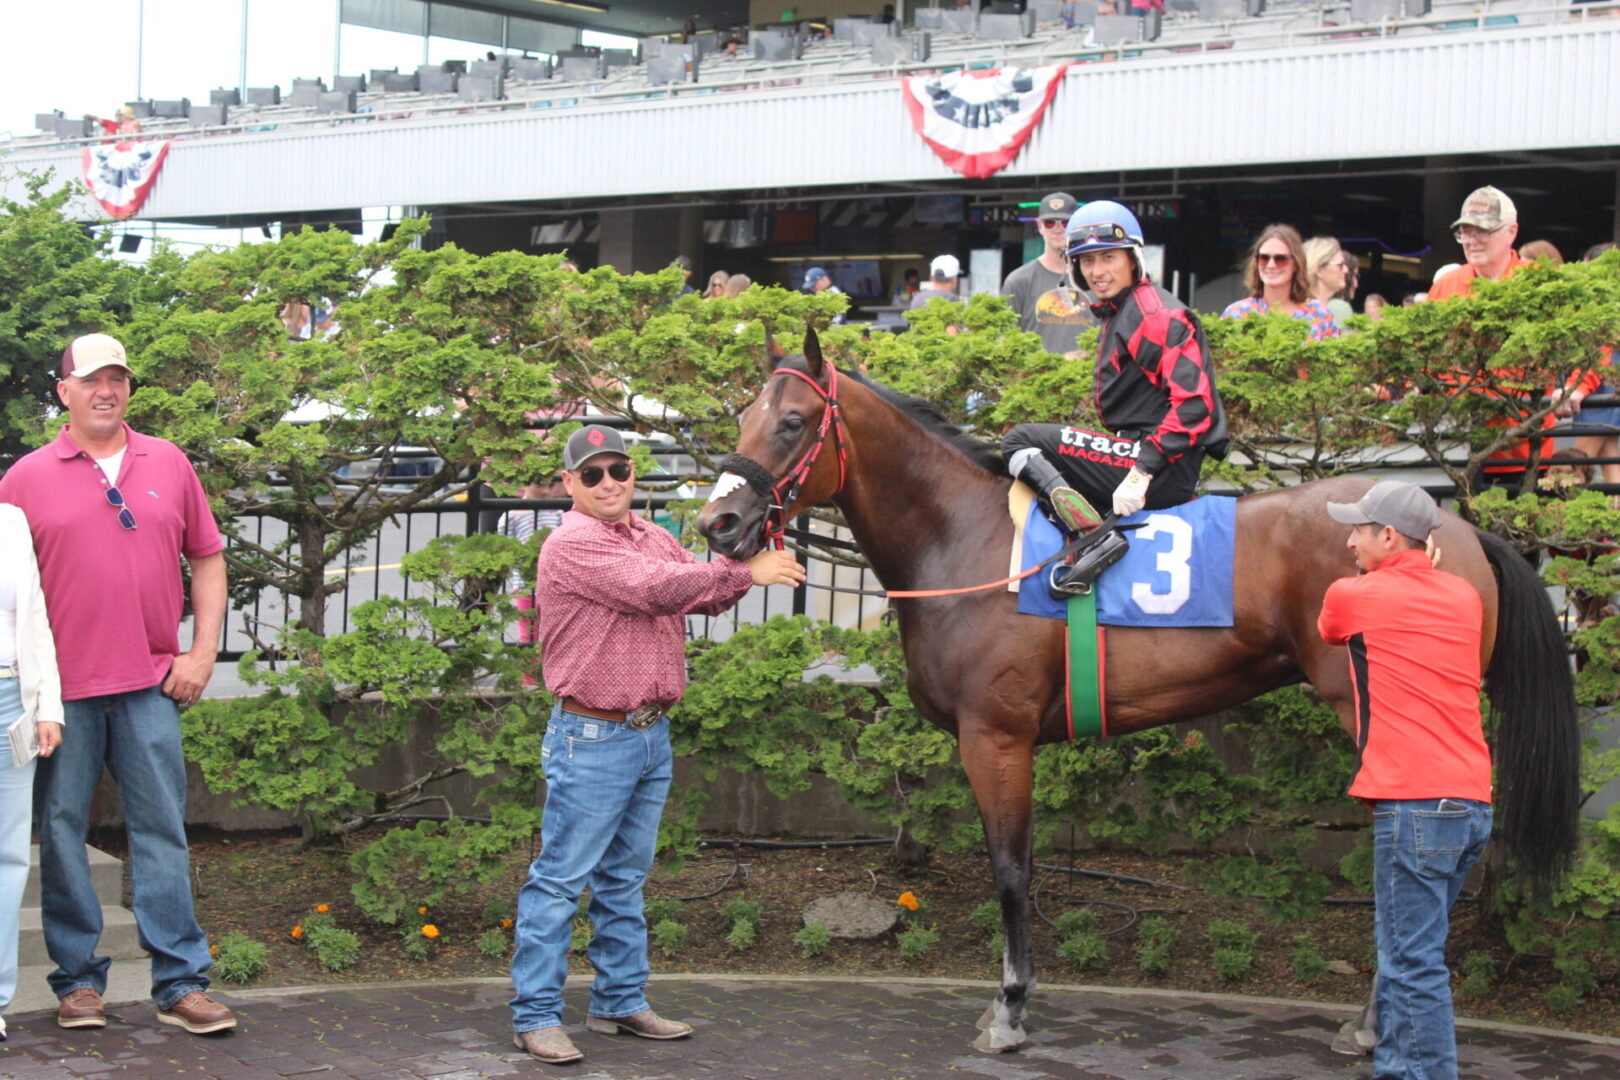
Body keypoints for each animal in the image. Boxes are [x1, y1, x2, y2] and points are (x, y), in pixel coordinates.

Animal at [695, 329, 1583, 1052]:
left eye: (793, 422)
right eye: (743, 417)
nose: (719, 526)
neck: (967, 540)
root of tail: (1461, 527)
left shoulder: (997, 736)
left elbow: (1010, 869)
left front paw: (1010, 1010)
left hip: (1375, 706)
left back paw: (1373, 1021)